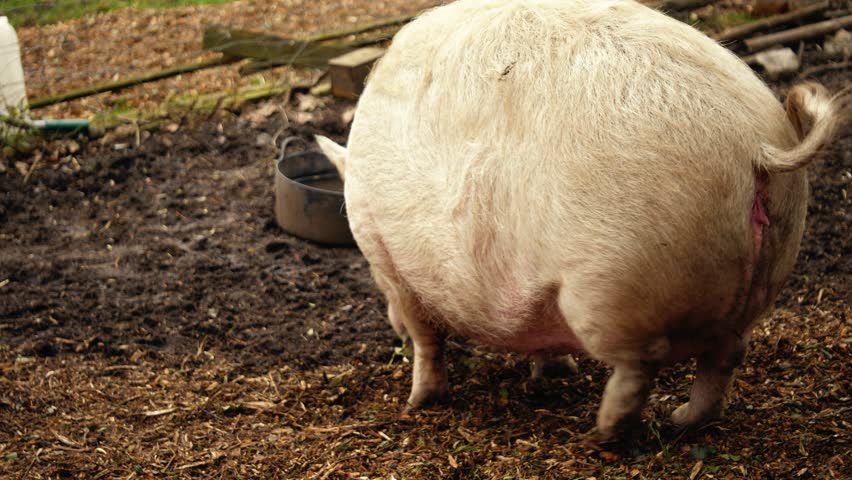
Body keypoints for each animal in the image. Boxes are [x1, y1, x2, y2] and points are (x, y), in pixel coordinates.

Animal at [316, 0, 850, 441]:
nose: (392, 330)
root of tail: (752, 145)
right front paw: (553, 373)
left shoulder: (387, 258)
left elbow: (427, 340)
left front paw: (419, 403)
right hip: (767, 269)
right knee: (726, 356)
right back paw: (681, 420)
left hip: (613, 284)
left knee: (641, 366)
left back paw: (603, 436)